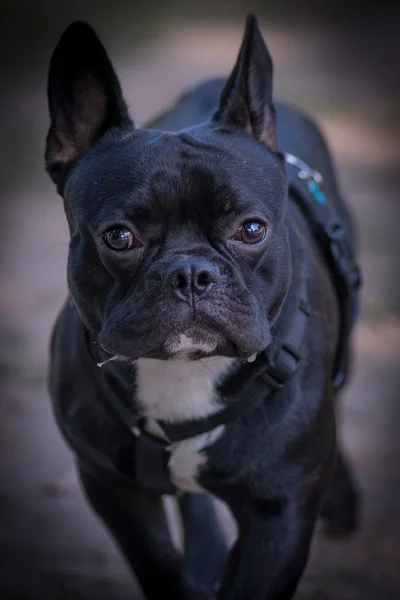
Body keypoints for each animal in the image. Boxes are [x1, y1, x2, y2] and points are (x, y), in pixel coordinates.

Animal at [46, 14, 360, 600]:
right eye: (119, 237)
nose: (192, 273)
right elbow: (158, 564)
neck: (183, 375)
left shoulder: (278, 515)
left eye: (251, 230)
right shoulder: (112, 489)